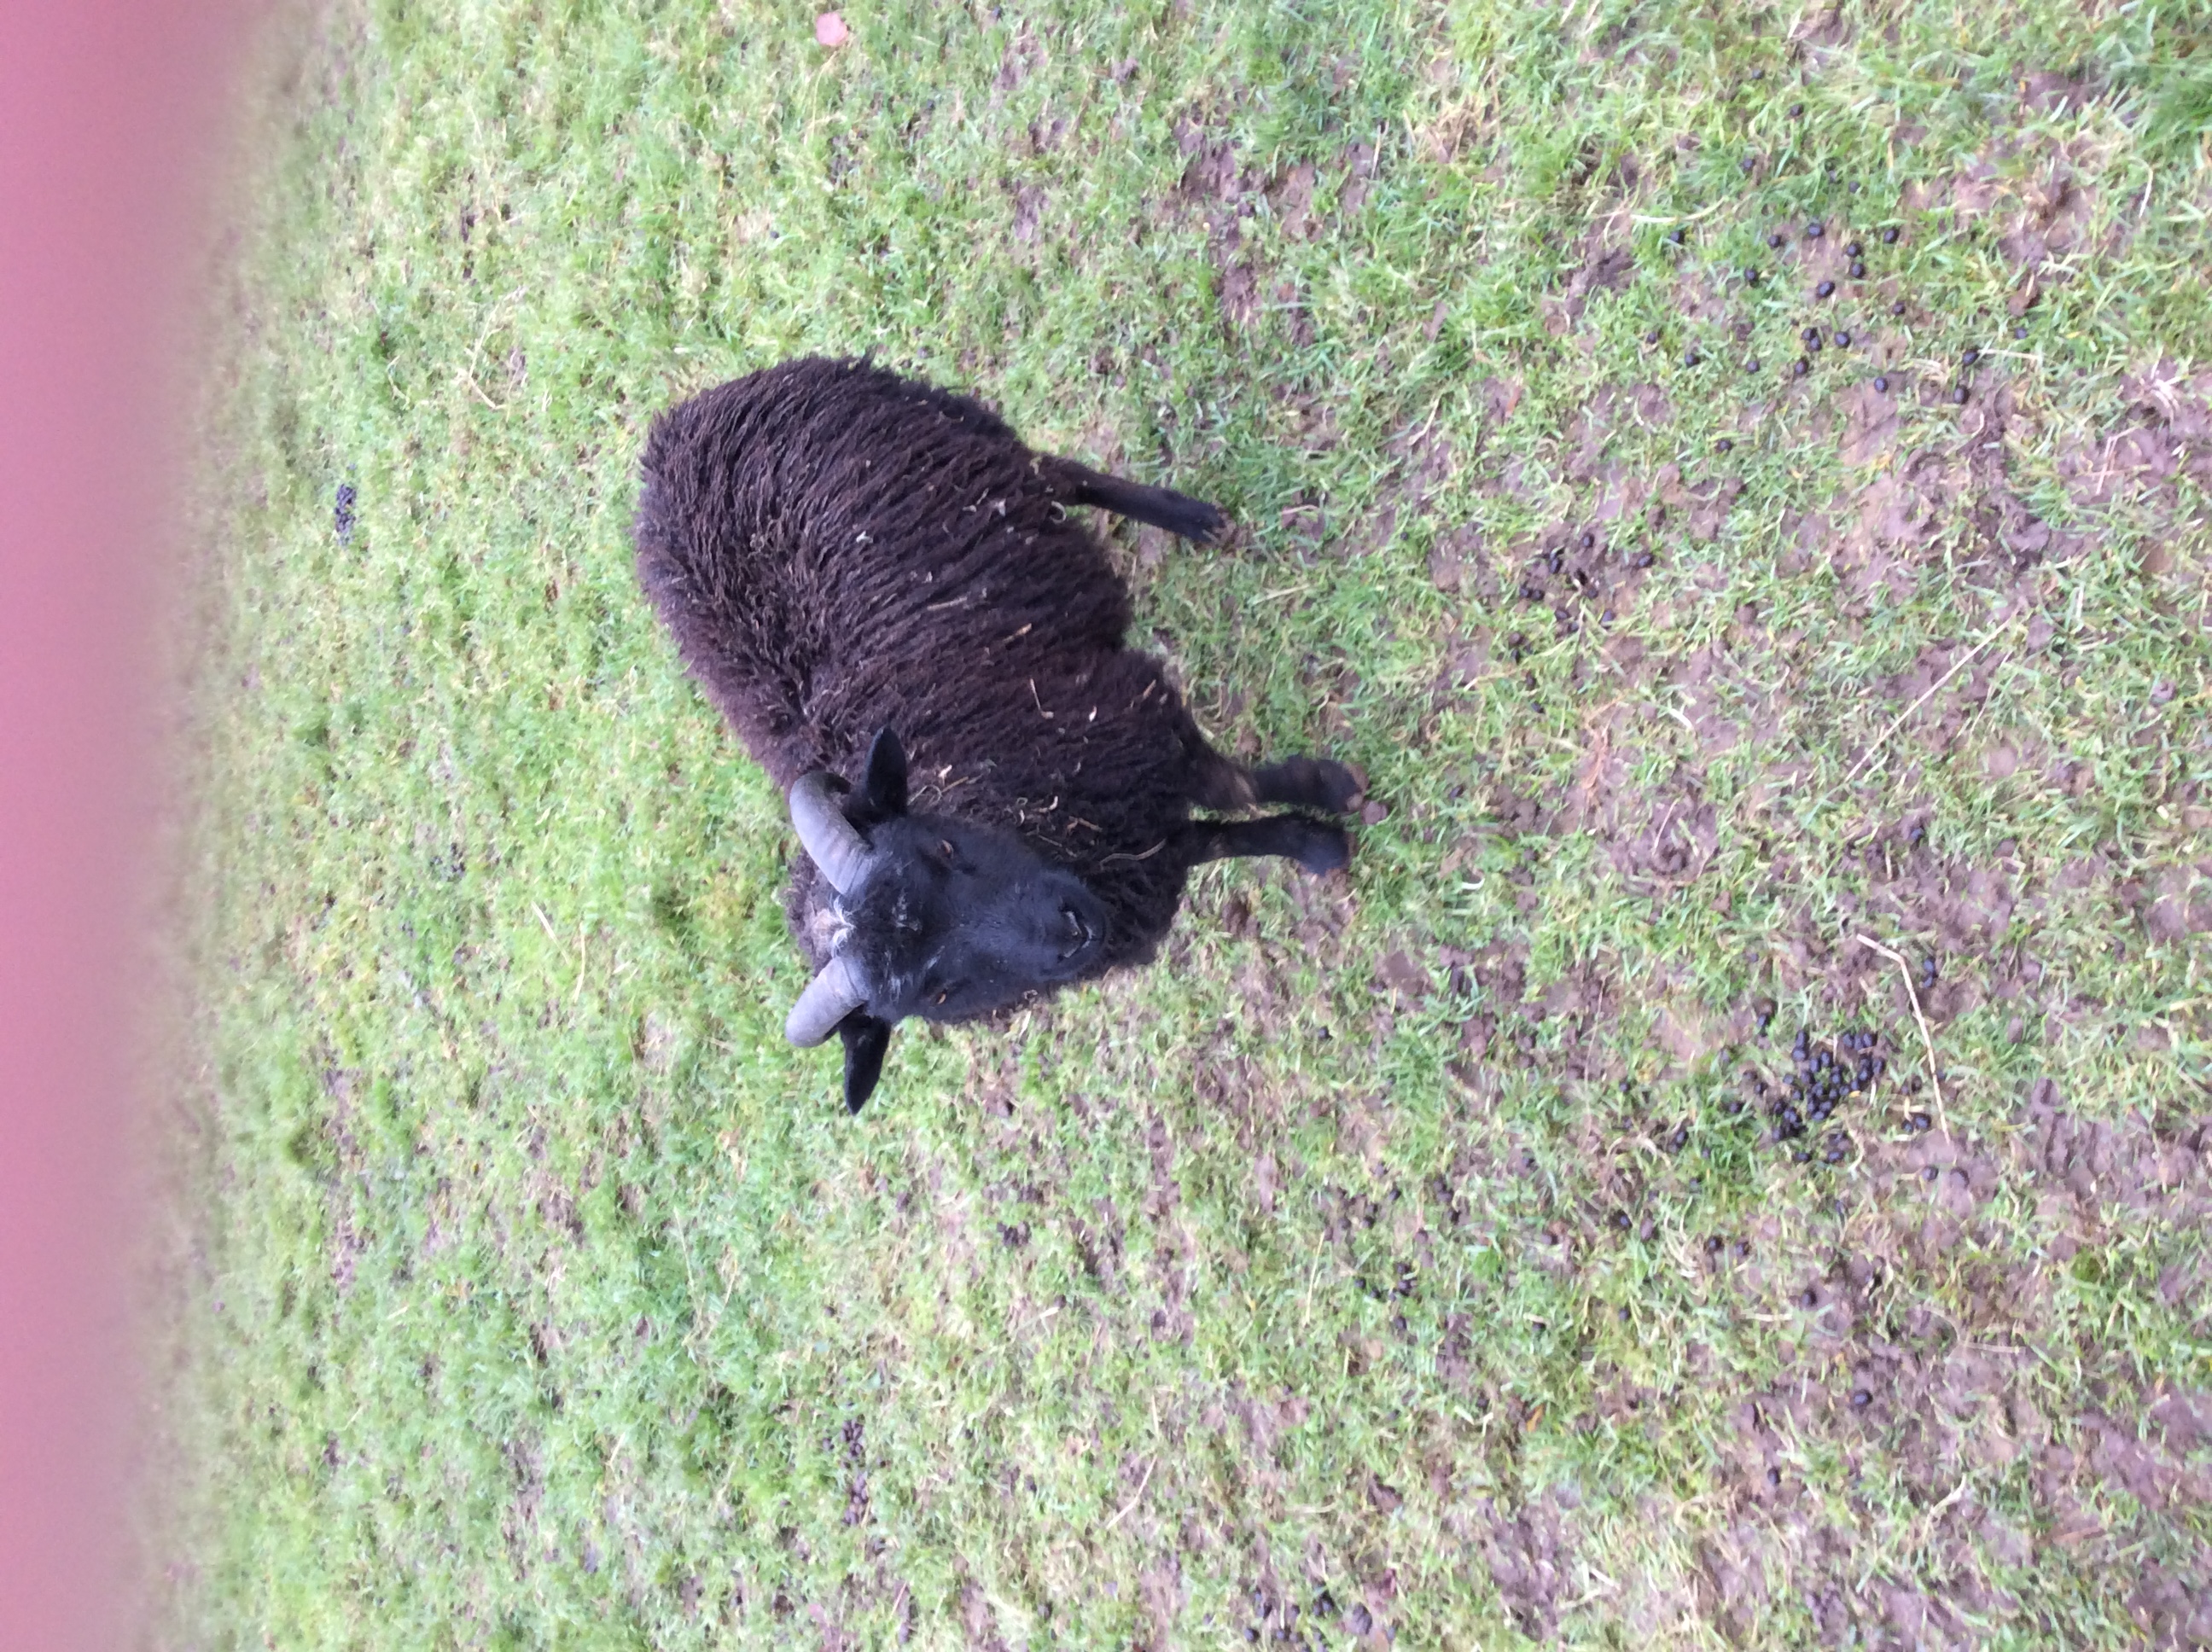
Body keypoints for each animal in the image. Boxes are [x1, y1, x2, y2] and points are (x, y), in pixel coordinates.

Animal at [633, 356, 1362, 1111]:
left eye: (942, 847)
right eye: (935, 992)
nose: (1071, 930)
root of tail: (674, 426)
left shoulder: (1132, 711)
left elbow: (1234, 786)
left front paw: (1328, 792)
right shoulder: (1141, 837)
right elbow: (1222, 837)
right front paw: (1313, 842)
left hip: (965, 437)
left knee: (1060, 473)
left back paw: (1193, 519)